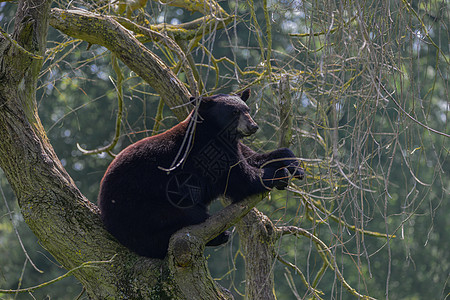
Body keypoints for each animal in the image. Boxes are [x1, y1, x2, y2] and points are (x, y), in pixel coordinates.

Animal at [98, 90, 302, 258]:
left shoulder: (232, 146)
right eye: (234, 112)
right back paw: (219, 235)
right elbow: (241, 179)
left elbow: (255, 157)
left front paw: (295, 165)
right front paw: (279, 175)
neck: (215, 132)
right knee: (183, 217)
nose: (253, 126)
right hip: (145, 205)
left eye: (247, 109)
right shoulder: (209, 154)